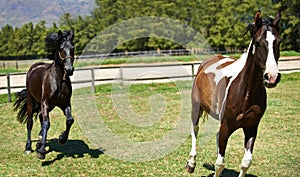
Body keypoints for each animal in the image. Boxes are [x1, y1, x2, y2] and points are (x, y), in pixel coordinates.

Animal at [13, 28, 75, 159]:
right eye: (61, 48)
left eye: (72, 47)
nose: (69, 70)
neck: (59, 81)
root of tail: (34, 66)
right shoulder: (45, 102)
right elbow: (47, 123)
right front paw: (41, 152)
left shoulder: (65, 103)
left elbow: (69, 120)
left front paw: (62, 138)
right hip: (32, 101)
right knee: (30, 123)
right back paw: (29, 147)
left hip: (50, 105)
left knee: (41, 117)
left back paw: (41, 139)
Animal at [185, 11, 282, 177]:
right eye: (257, 42)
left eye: (279, 41)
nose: (272, 77)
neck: (246, 93)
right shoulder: (226, 126)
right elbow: (219, 164)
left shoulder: (251, 127)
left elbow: (246, 162)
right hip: (196, 107)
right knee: (195, 129)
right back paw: (191, 163)